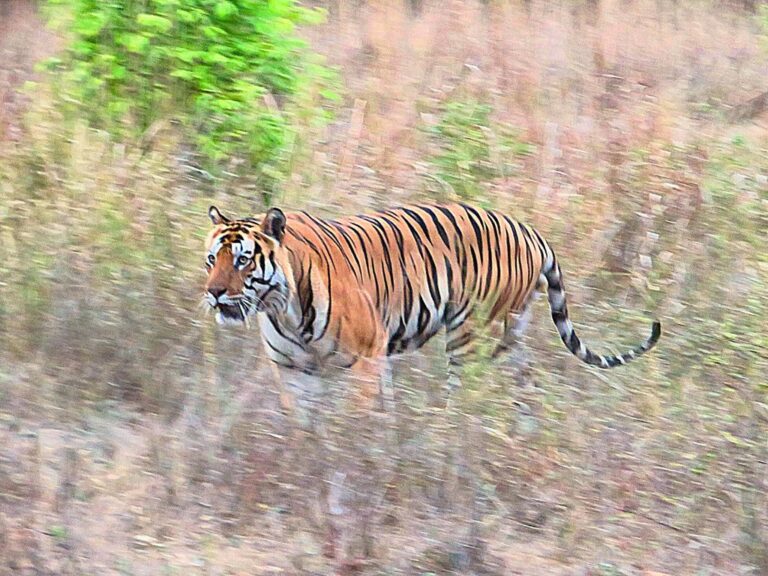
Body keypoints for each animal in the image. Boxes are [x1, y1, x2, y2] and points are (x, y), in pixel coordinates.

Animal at [203, 203, 661, 408]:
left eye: (243, 260)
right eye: (212, 259)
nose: (214, 293)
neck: (281, 308)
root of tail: (529, 230)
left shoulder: (367, 356)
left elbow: (359, 418)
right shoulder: (293, 370)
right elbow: (304, 426)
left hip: (470, 334)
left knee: (470, 397)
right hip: (513, 334)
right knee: (527, 387)